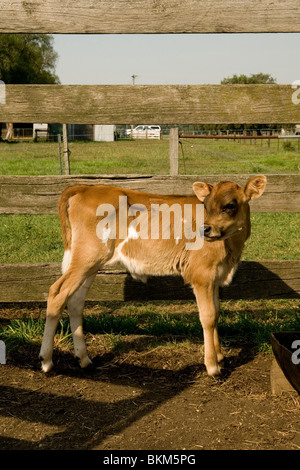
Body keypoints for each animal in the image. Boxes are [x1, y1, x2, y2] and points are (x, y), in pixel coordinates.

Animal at [38, 174, 266, 376]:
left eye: (230, 205)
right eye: (206, 205)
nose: (206, 229)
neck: (231, 249)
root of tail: (87, 187)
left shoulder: (215, 277)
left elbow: (217, 313)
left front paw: (219, 357)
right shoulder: (201, 275)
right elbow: (208, 317)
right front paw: (212, 366)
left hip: (91, 262)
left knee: (75, 301)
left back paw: (84, 359)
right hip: (87, 256)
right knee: (57, 293)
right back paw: (46, 361)